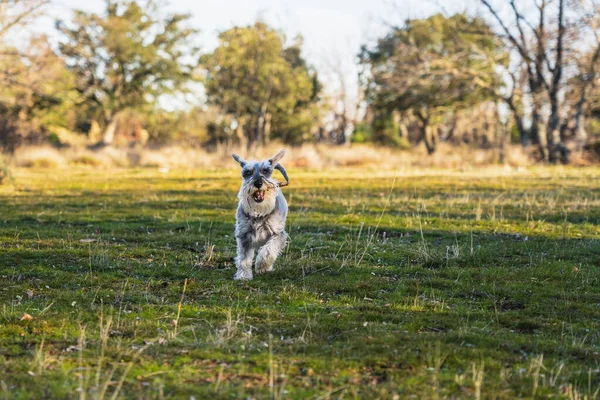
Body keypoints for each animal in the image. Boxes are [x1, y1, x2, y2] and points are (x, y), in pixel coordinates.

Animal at [231, 148, 290, 280]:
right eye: (248, 172)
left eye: (265, 171)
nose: (258, 183)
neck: (258, 212)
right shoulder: (244, 235)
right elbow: (244, 258)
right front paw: (243, 276)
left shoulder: (278, 234)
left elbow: (269, 250)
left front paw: (262, 265)